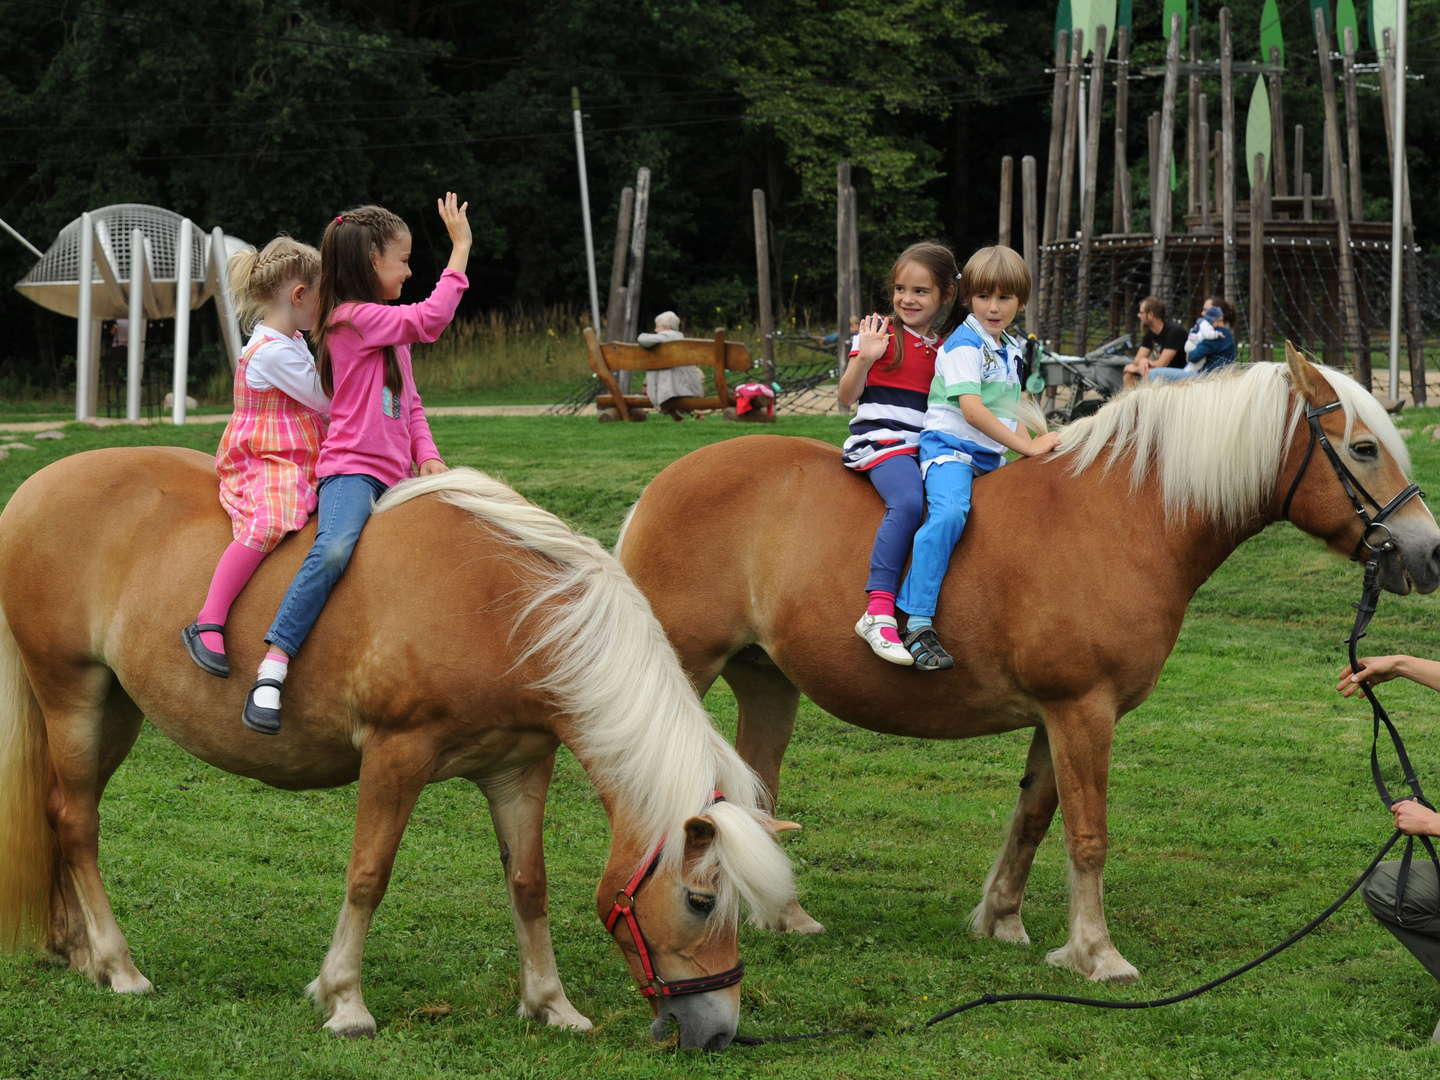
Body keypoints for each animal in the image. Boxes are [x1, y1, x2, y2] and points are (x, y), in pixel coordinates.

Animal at [0, 457, 794, 1048]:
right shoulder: (395, 757)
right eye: (700, 901)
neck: (505, 610)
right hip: (72, 698)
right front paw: (344, 1000)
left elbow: (528, 884)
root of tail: (36, 489)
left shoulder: (520, 767)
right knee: (77, 824)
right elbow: (368, 876)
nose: (720, 1033)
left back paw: (74, 951)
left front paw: (550, 1003)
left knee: (63, 813)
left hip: (117, 713)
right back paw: (117, 965)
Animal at [619, 348, 1440, 990]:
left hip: (767, 682)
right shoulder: (1083, 710)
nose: (1427, 553)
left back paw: (784, 914)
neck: (1124, 518)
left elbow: (1034, 819)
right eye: (1363, 449)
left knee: (754, 795)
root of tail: (660, 487)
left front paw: (1003, 923)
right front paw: (1097, 955)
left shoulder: (1058, 715)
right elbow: (1087, 834)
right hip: (684, 671)